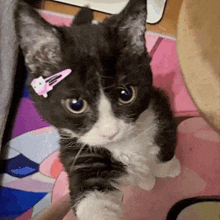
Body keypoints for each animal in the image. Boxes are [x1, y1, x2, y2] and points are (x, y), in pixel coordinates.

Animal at [15, 0, 180, 219]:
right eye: (76, 105)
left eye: (126, 94)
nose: (111, 131)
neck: (124, 144)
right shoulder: (79, 153)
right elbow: (93, 198)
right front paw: (151, 178)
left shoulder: (159, 105)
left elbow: (166, 141)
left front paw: (167, 168)